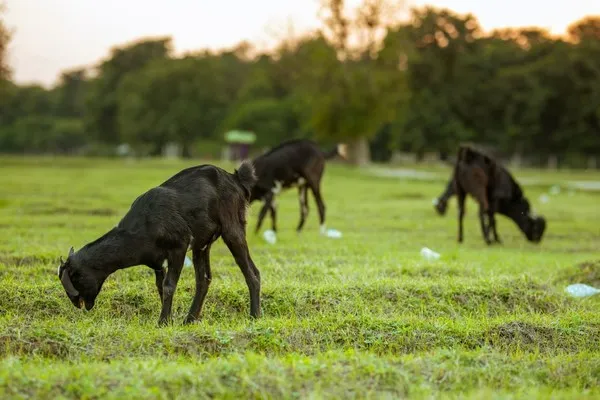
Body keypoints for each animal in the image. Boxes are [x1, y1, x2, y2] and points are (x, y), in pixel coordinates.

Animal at [56, 161, 260, 326]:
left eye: (75, 278)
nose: (79, 304)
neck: (142, 228)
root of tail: (235, 178)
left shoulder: (179, 247)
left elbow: (169, 285)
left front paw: (162, 322)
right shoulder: (156, 261)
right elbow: (160, 285)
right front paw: (169, 320)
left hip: (232, 228)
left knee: (252, 272)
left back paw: (254, 316)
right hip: (201, 245)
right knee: (203, 279)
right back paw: (189, 320)